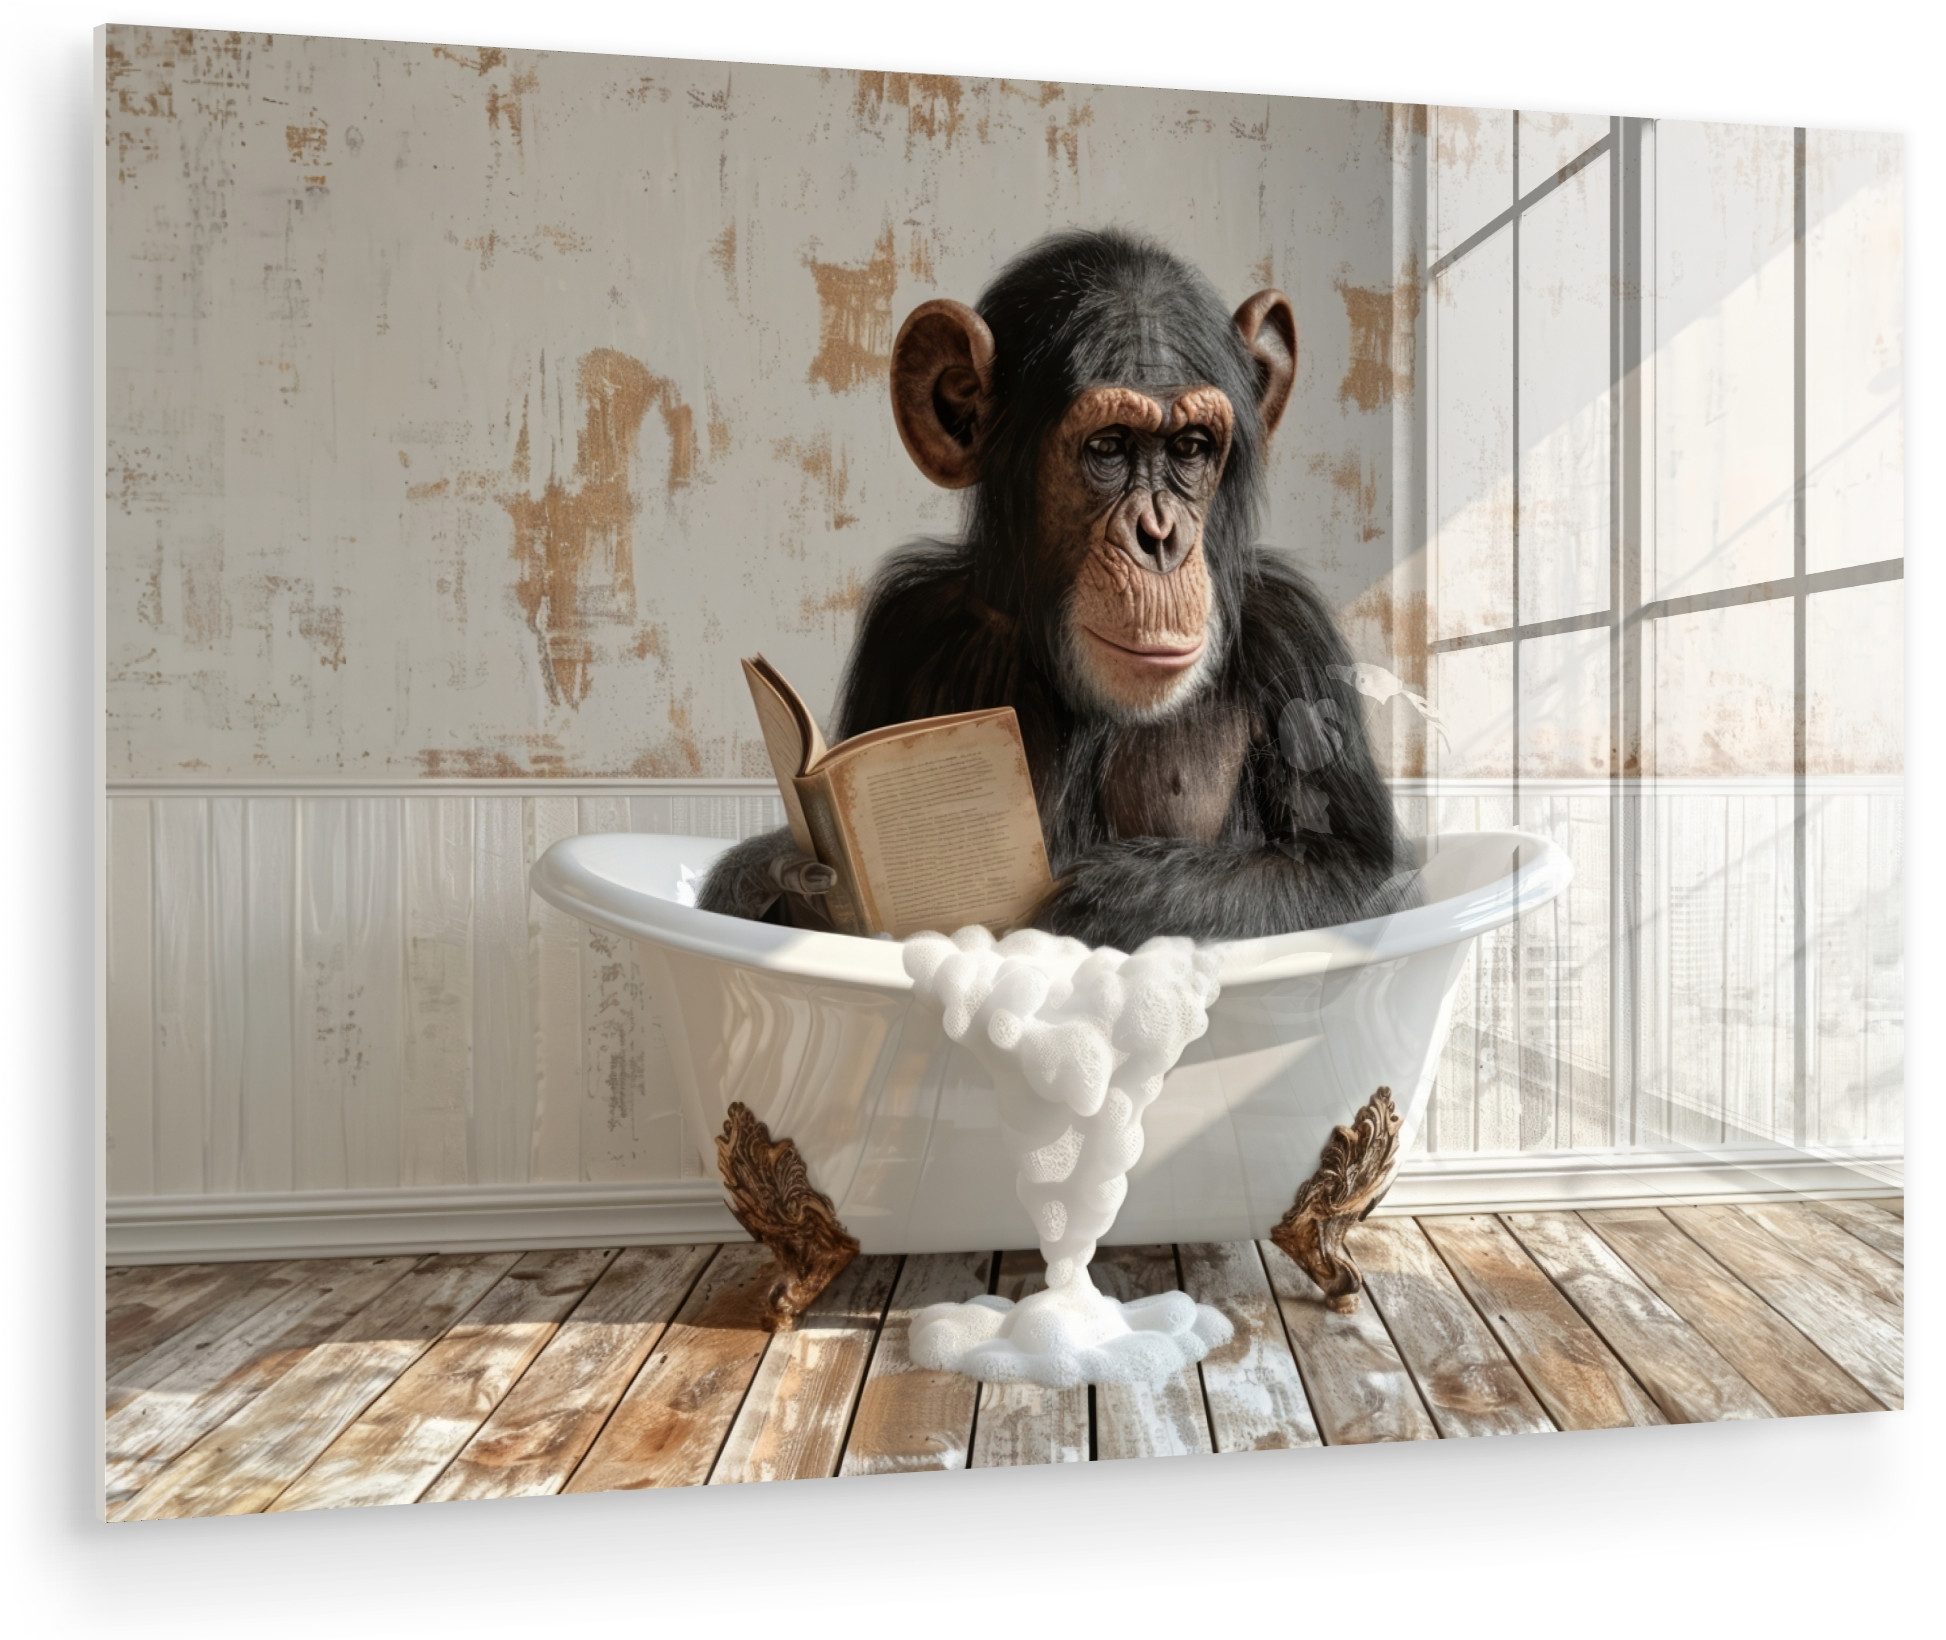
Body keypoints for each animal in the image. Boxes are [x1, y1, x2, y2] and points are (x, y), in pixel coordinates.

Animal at [701, 227, 1416, 946]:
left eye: (1189, 447)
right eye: (1109, 446)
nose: (1159, 536)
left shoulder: (1294, 635)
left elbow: (1361, 871)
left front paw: (1110, 901)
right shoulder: (904, 625)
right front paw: (779, 872)